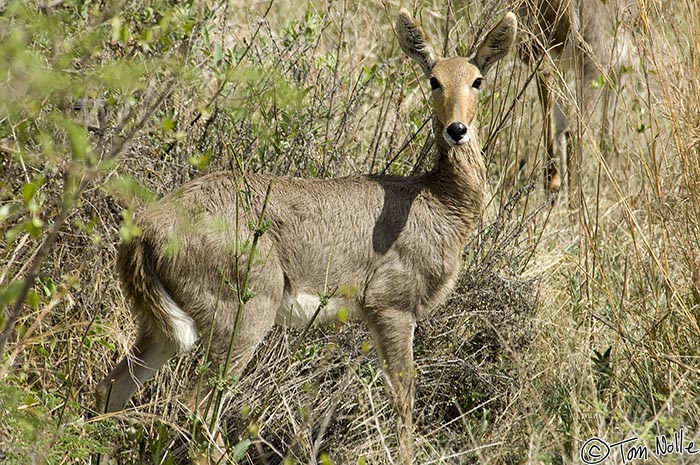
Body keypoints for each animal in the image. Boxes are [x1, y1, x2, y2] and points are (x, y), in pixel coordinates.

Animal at [95, 8, 516, 464]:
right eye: (434, 78)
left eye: (477, 79)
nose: (457, 129)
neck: (437, 201)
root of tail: (146, 229)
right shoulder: (392, 305)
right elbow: (404, 396)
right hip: (241, 315)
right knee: (197, 406)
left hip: (162, 327)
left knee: (113, 387)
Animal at [516, 0, 636, 195]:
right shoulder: (620, 64)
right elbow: (608, 119)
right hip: (592, 61)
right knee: (575, 128)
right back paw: (578, 199)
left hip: (538, 55)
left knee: (555, 122)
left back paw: (553, 185)